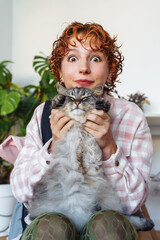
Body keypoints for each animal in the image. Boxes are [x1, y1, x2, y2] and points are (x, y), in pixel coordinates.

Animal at [28, 83, 154, 232]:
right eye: (71, 98)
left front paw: (103, 103)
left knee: (125, 217)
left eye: (84, 98)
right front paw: (59, 98)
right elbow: (55, 103)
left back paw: (146, 223)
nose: (77, 102)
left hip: (108, 203)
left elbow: (105, 108)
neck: (80, 123)